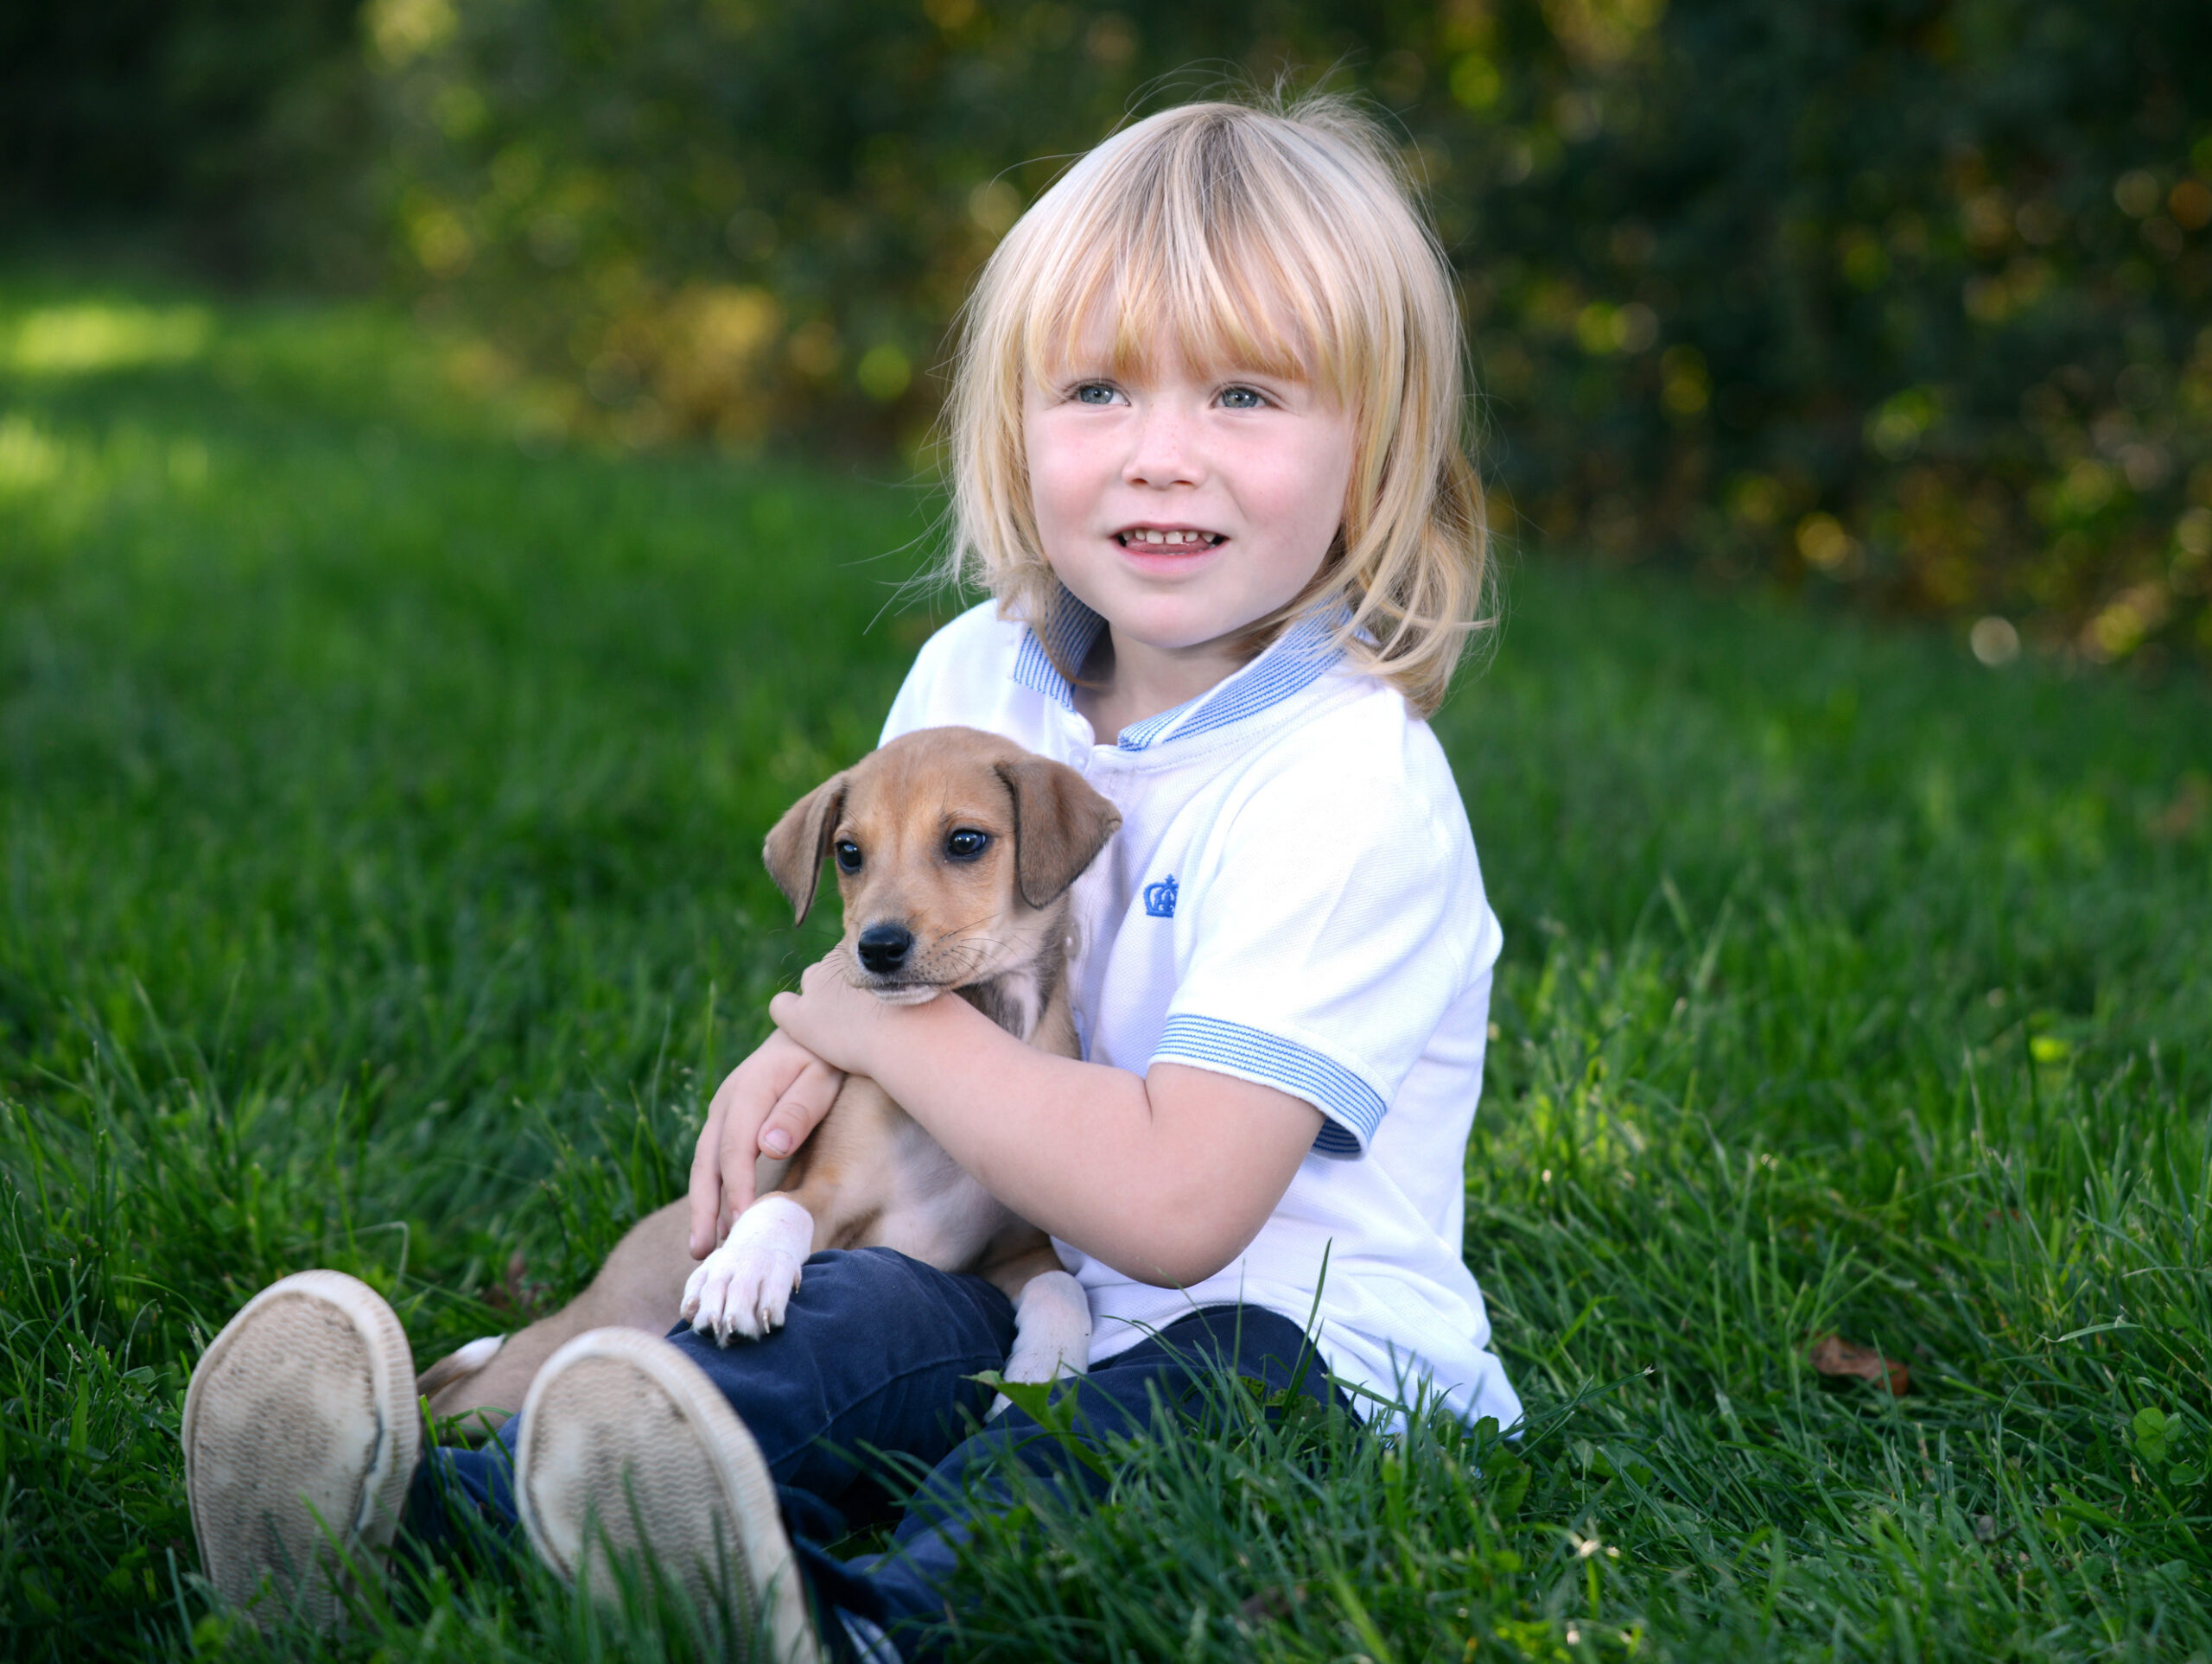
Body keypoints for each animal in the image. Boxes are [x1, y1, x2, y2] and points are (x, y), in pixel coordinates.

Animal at [413, 726, 1115, 1433]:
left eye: (966, 841)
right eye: (849, 853)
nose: (878, 948)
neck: (985, 1021)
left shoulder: (1016, 1247)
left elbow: (1063, 1288)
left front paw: (1040, 1376)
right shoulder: (827, 1188)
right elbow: (777, 1206)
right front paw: (741, 1274)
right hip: (517, 1376)